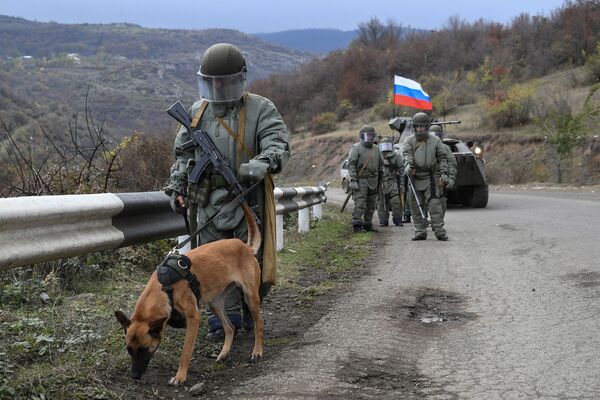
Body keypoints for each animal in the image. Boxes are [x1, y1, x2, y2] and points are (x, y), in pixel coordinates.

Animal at [113, 203, 264, 384]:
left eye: (144, 349)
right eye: (129, 350)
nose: (134, 376)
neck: (165, 288)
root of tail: (245, 247)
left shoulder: (193, 318)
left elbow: (185, 352)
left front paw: (180, 376)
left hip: (250, 297)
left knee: (259, 325)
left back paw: (257, 352)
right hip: (215, 304)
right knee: (230, 328)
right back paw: (224, 353)